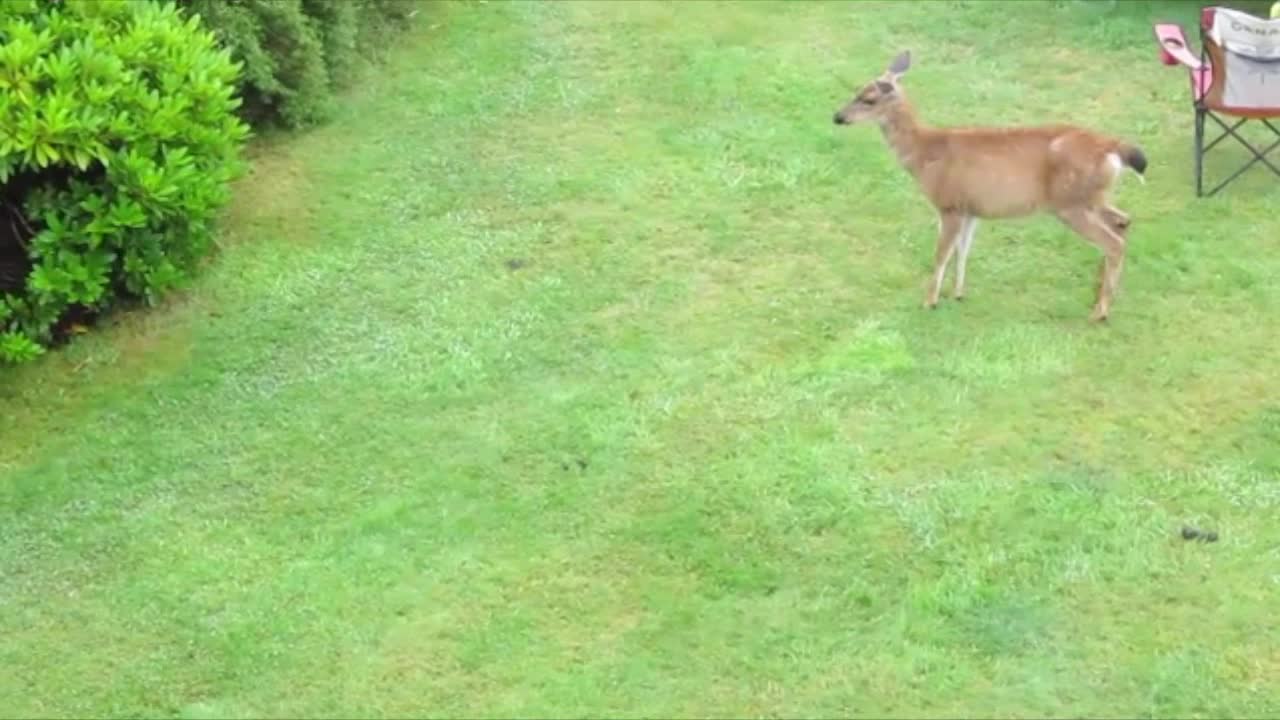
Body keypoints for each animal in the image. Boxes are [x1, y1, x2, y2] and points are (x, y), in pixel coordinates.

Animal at [834, 50, 1146, 319]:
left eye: (869, 99)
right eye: (857, 92)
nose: (838, 117)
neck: (926, 154)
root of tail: (1114, 148)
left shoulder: (949, 204)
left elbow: (942, 254)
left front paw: (929, 301)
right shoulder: (970, 209)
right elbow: (962, 251)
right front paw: (957, 294)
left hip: (1071, 204)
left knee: (1114, 243)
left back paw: (1100, 313)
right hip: (1092, 198)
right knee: (1123, 221)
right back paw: (1100, 294)